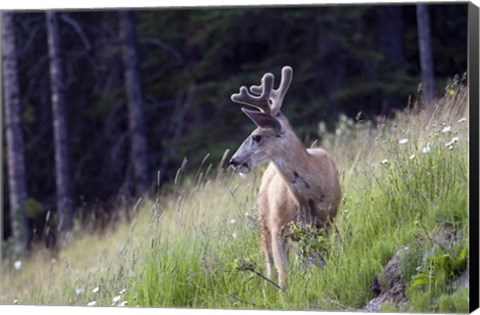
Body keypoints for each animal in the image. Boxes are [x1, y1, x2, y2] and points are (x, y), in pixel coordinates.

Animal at [229, 66, 342, 288]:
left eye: (256, 136)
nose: (233, 160)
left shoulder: (326, 223)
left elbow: (322, 261)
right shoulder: (277, 227)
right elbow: (284, 276)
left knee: (303, 260)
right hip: (264, 222)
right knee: (270, 265)